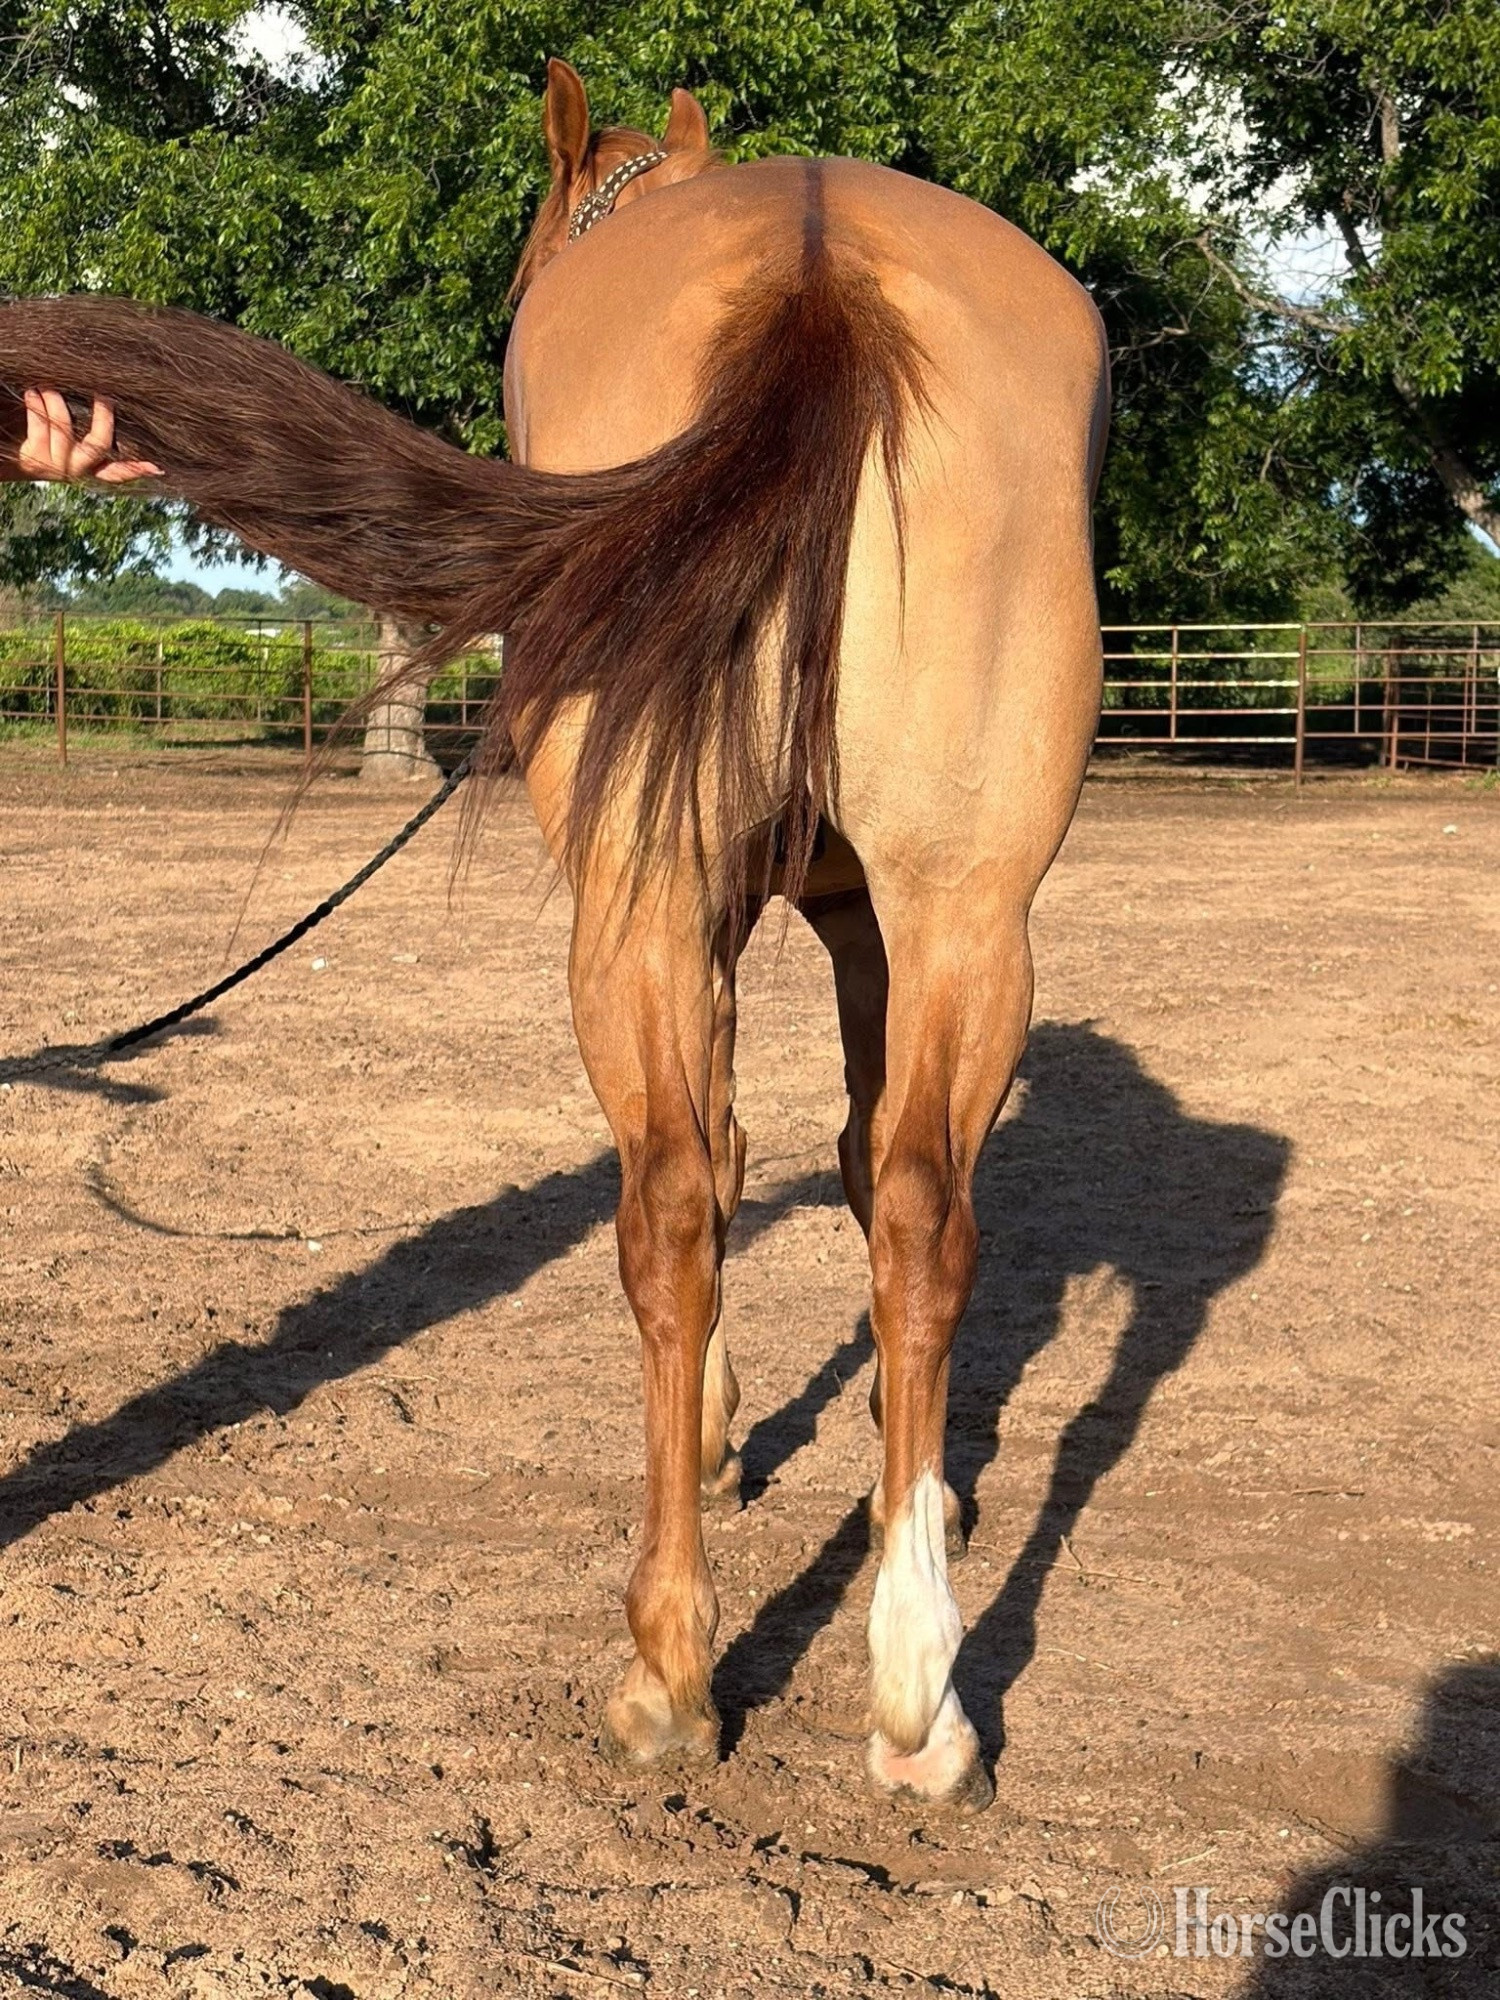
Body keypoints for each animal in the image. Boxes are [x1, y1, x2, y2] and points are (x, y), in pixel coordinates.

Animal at [0, 58, 1109, 1809]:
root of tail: (821, 273)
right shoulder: (866, 915)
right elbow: (855, 1171)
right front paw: (900, 1484)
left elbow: (724, 1165)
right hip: (965, 908)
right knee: (925, 1214)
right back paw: (919, 1691)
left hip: (640, 908)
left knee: (667, 1208)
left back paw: (669, 1671)